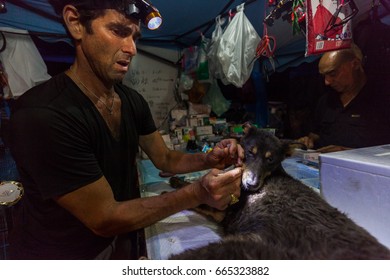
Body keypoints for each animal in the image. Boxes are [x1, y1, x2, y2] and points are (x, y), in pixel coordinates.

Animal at [170, 126, 390, 260]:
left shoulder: (222, 210)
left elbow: (196, 197)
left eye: (270, 160)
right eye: (249, 152)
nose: (251, 185)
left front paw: (176, 182)